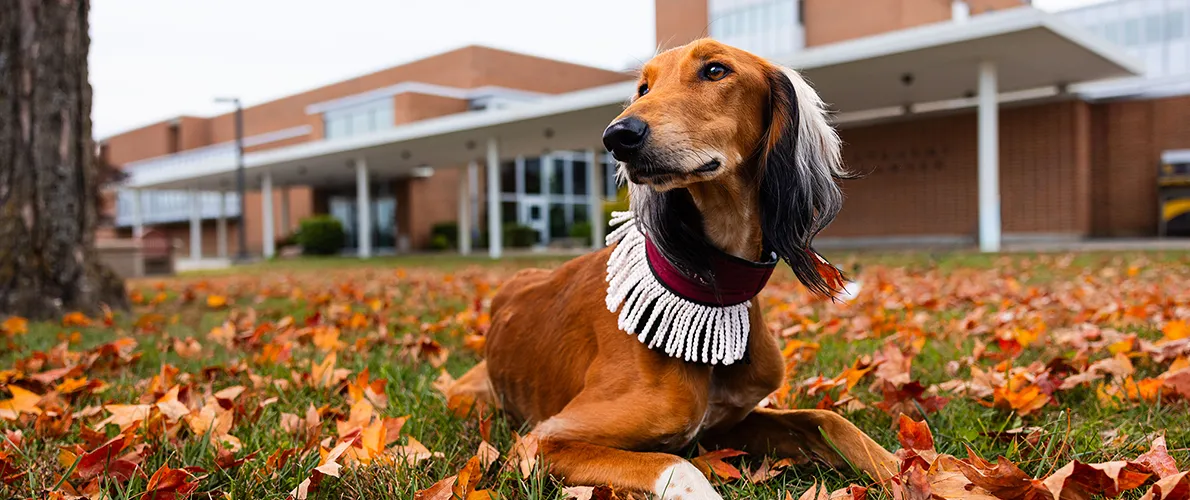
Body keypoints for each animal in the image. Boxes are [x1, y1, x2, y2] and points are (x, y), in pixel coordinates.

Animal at [449, 40, 894, 500]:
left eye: (715, 70)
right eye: (643, 87)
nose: (618, 136)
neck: (708, 288)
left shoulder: (726, 426)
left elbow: (826, 419)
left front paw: (909, 470)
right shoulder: (541, 441)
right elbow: (677, 465)